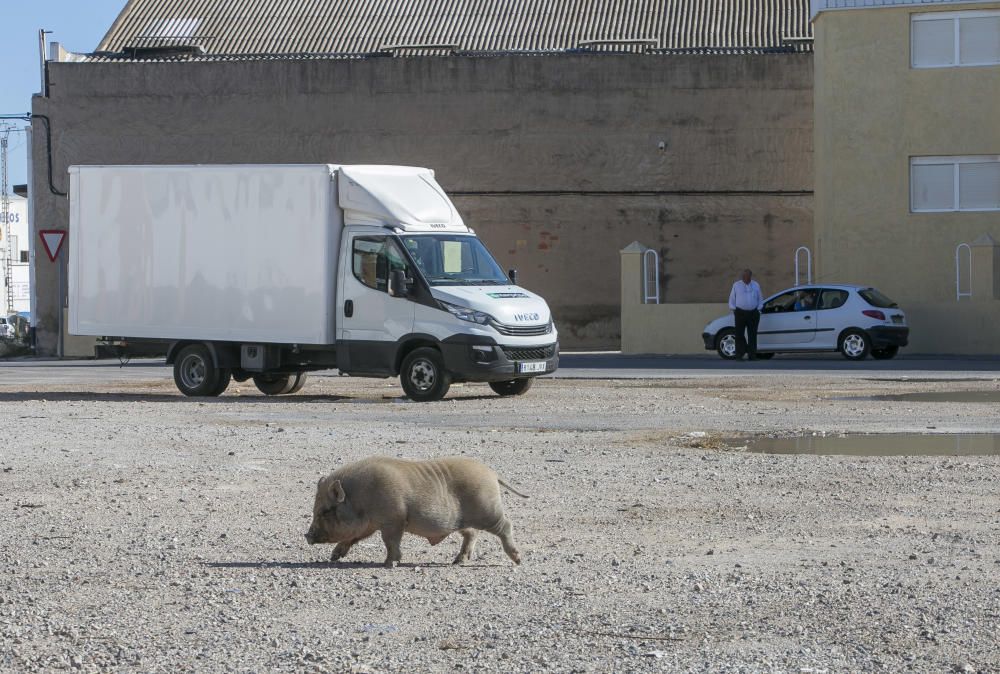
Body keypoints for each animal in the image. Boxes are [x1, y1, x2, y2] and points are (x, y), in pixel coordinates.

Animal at [304, 454, 528, 564]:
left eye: (325, 511)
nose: (307, 536)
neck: (361, 498)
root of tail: (492, 473)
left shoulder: (393, 520)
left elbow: (390, 542)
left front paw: (389, 563)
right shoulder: (368, 525)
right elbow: (352, 538)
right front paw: (334, 557)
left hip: (489, 511)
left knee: (506, 525)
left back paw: (517, 560)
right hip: (463, 521)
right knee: (472, 533)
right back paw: (458, 561)